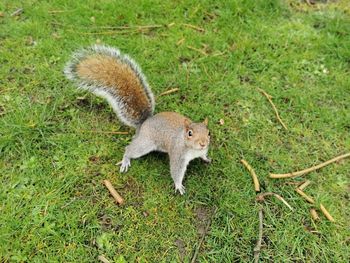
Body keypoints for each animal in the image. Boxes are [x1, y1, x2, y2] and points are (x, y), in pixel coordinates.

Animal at [63, 45, 211, 195]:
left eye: (208, 132)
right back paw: (126, 160)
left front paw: (206, 158)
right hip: (145, 144)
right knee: (129, 148)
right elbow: (176, 171)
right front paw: (178, 185)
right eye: (190, 133)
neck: (192, 149)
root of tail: (144, 123)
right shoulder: (178, 154)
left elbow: (203, 155)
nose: (203, 143)